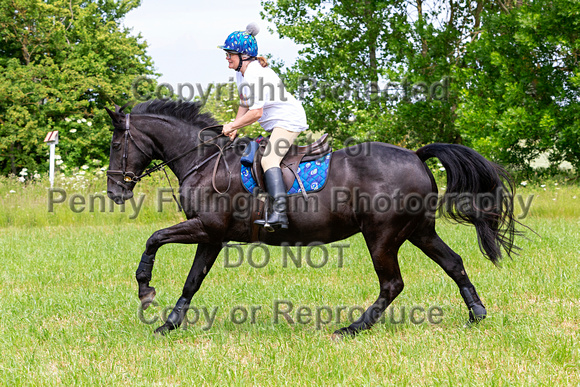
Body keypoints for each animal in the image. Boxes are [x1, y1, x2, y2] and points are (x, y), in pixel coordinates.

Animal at [106, 101, 520, 340]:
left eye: (115, 144)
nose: (114, 192)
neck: (205, 162)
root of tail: (416, 156)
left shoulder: (207, 228)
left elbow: (154, 238)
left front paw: (145, 290)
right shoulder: (212, 236)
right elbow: (192, 281)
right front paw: (169, 324)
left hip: (382, 235)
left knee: (392, 283)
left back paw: (353, 328)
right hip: (419, 230)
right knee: (454, 262)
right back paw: (477, 313)